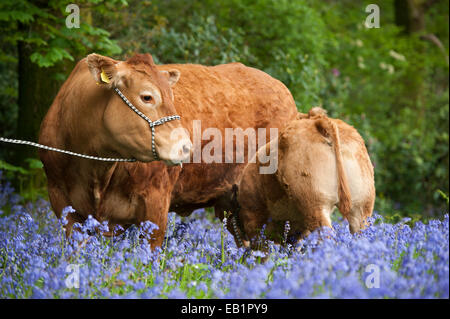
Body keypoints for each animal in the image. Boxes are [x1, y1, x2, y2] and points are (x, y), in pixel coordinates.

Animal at [39, 52, 298, 249]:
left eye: (172, 96)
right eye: (147, 97)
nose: (186, 147)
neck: (96, 171)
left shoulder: (155, 204)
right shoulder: (62, 204)